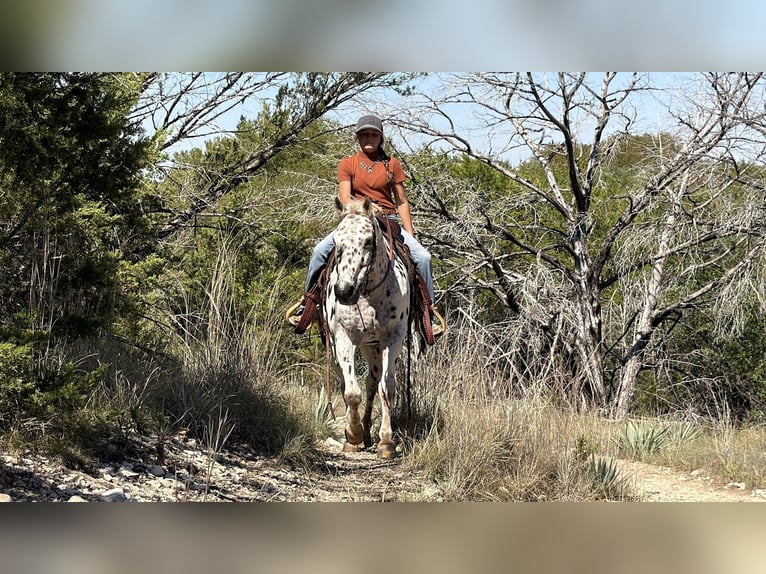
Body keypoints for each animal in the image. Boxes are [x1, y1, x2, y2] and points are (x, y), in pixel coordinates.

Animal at [323, 196, 410, 458]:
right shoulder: (343, 337)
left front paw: (386, 440)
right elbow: (352, 392)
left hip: (373, 347)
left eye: (369, 241)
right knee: (347, 383)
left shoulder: (393, 338)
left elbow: (386, 388)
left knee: (372, 382)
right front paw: (352, 435)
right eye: (336, 242)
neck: (369, 294)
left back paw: (369, 432)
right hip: (344, 347)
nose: (344, 291)